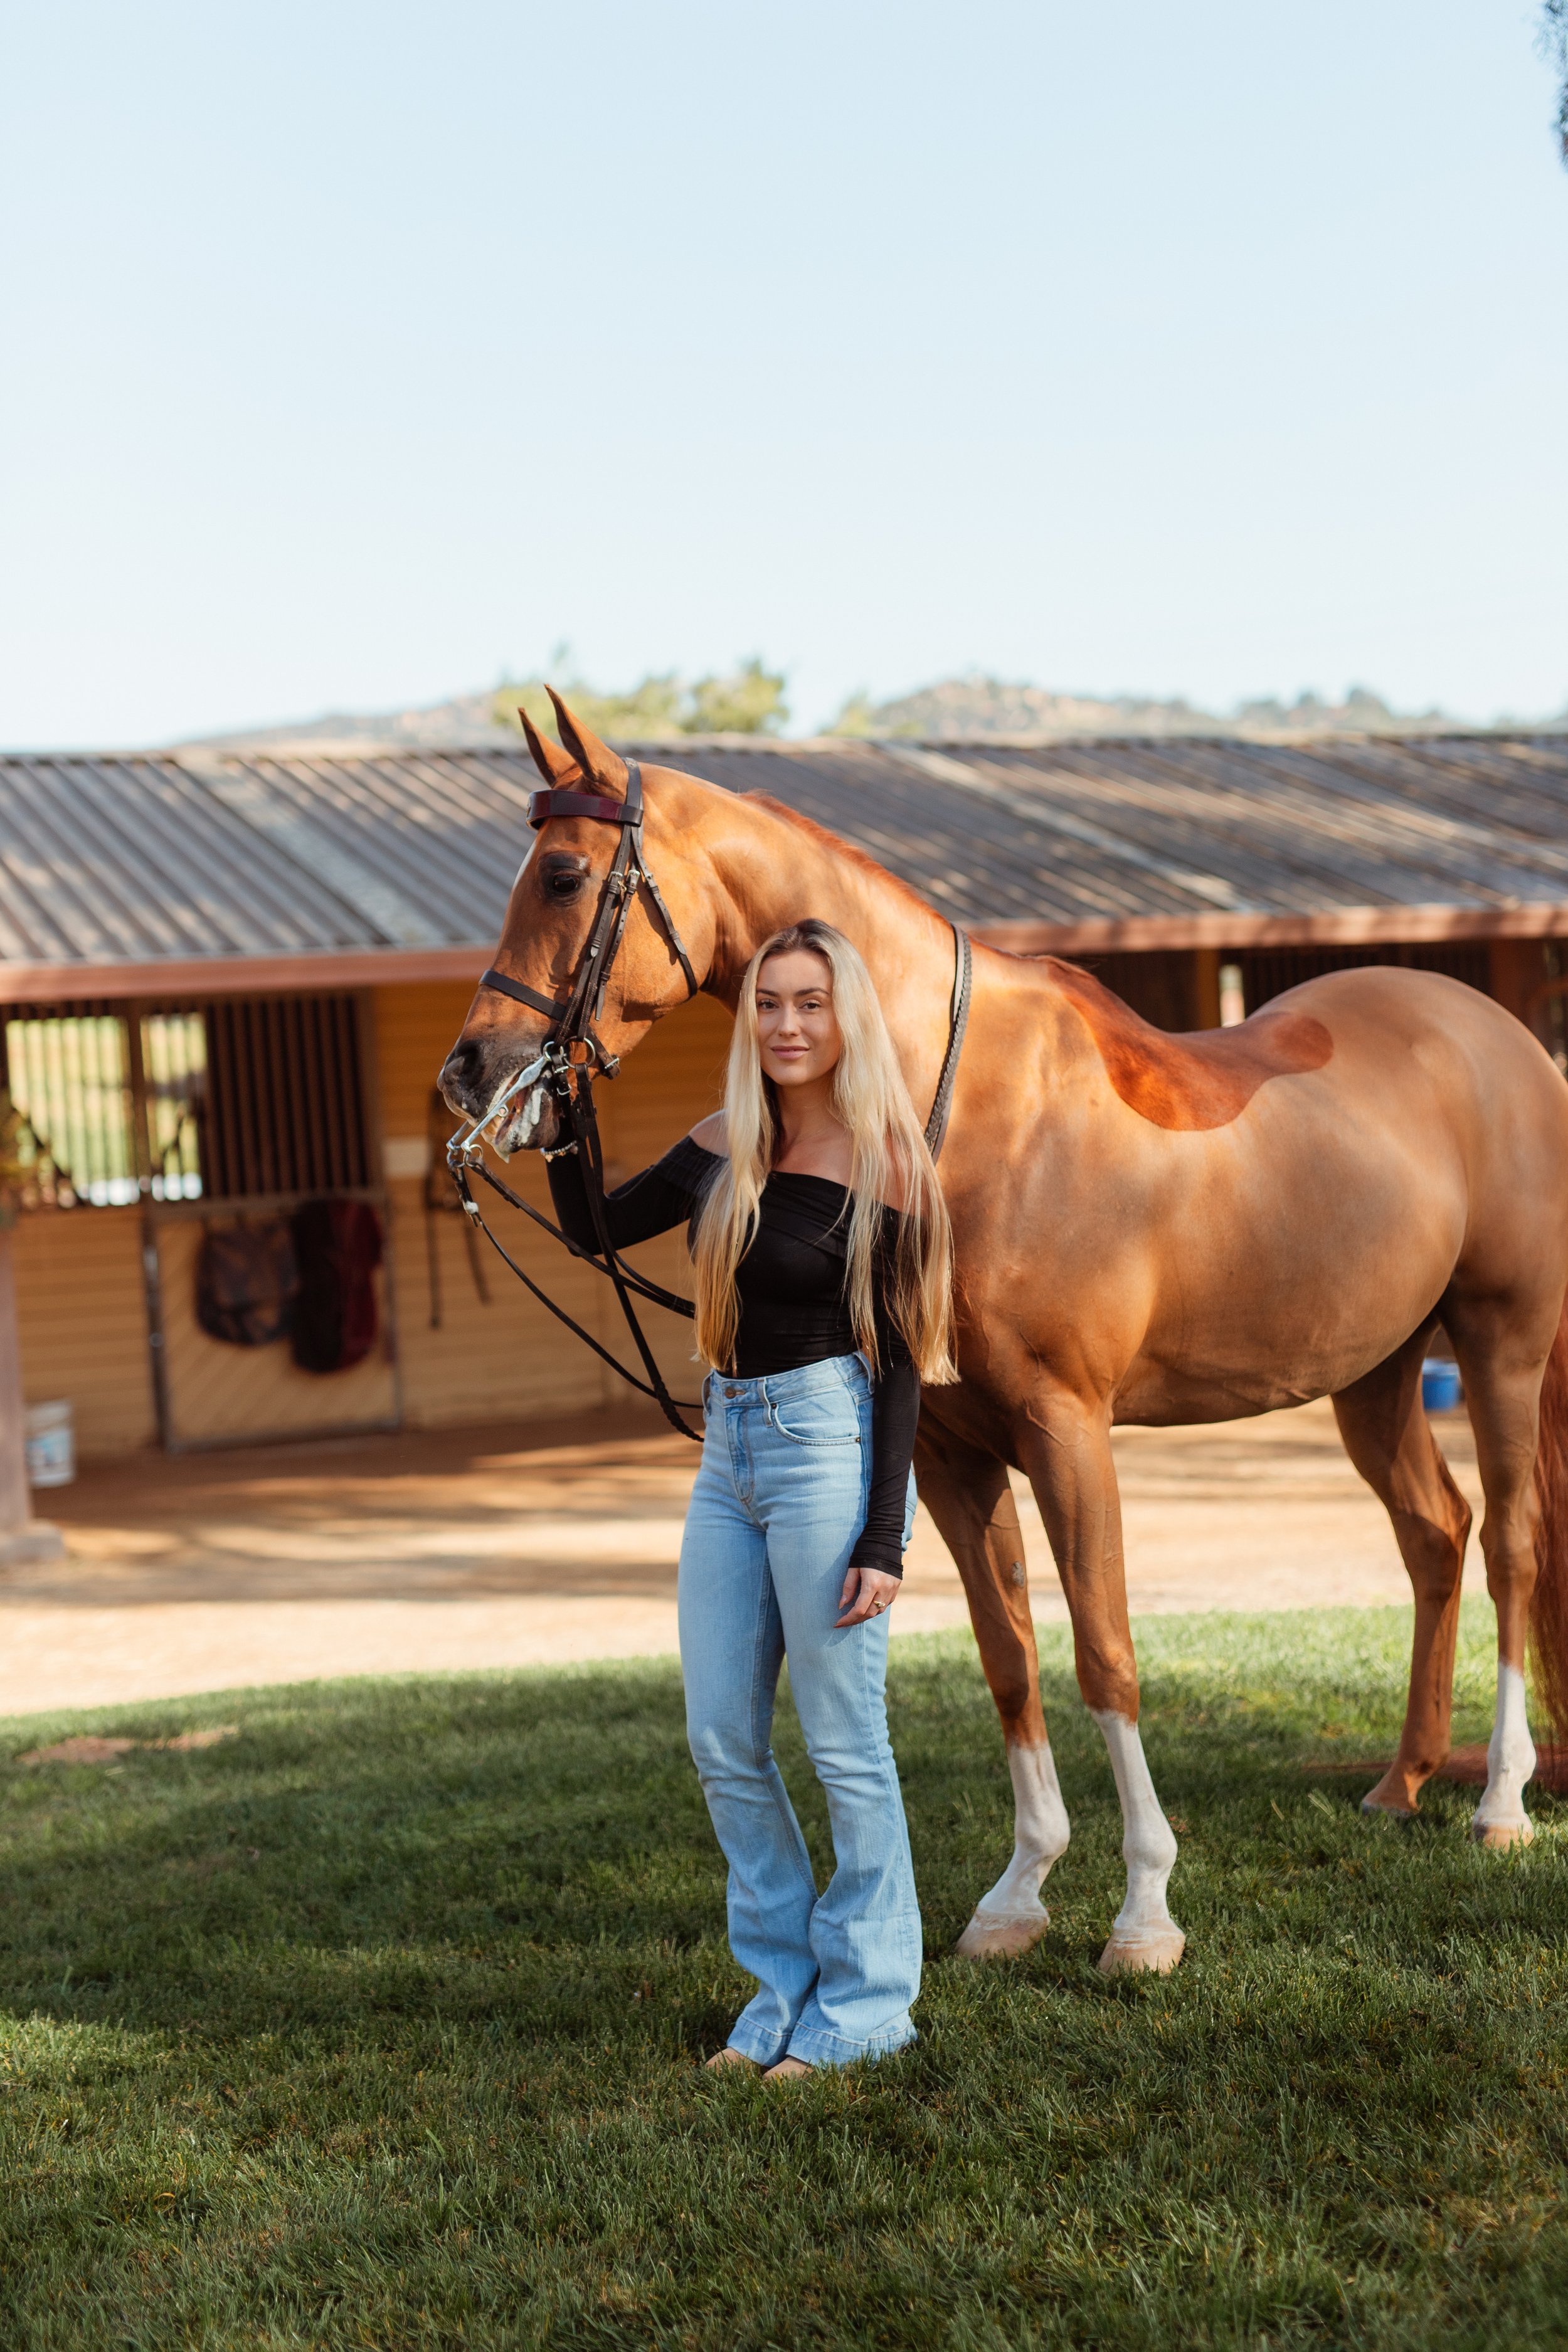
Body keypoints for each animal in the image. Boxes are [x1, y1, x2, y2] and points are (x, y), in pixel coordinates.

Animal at [439, 691, 1568, 1975]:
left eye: (565, 876)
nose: (472, 1071)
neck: (961, 1111)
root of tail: (1503, 1038)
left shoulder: (1067, 1428)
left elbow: (1105, 1655)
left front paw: (1144, 1913)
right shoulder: (946, 1453)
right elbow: (1010, 1656)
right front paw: (1018, 1896)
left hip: (1501, 1345)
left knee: (1511, 1545)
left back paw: (1501, 1803)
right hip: (1372, 1373)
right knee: (1434, 1536)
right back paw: (1402, 1783)